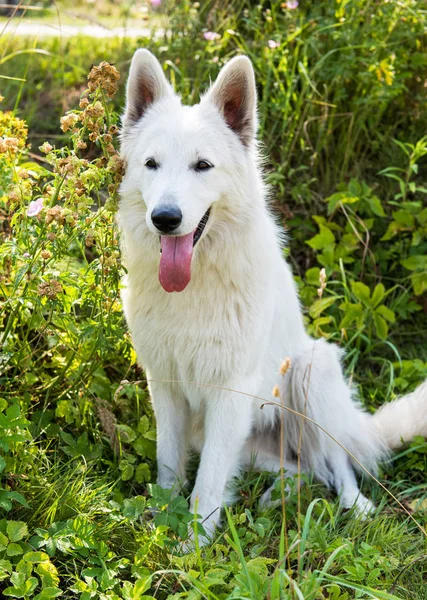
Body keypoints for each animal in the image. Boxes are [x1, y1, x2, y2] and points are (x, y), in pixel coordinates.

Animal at [118, 49, 427, 548]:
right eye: (151, 164)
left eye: (202, 166)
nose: (165, 218)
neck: (195, 286)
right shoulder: (164, 386)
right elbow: (169, 466)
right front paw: (161, 521)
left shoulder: (229, 392)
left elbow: (206, 485)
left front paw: (191, 549)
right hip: (255, 441)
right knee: (302, 471)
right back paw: (273, 498)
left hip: (311, 374)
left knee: (335, 462)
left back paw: (355, 505)